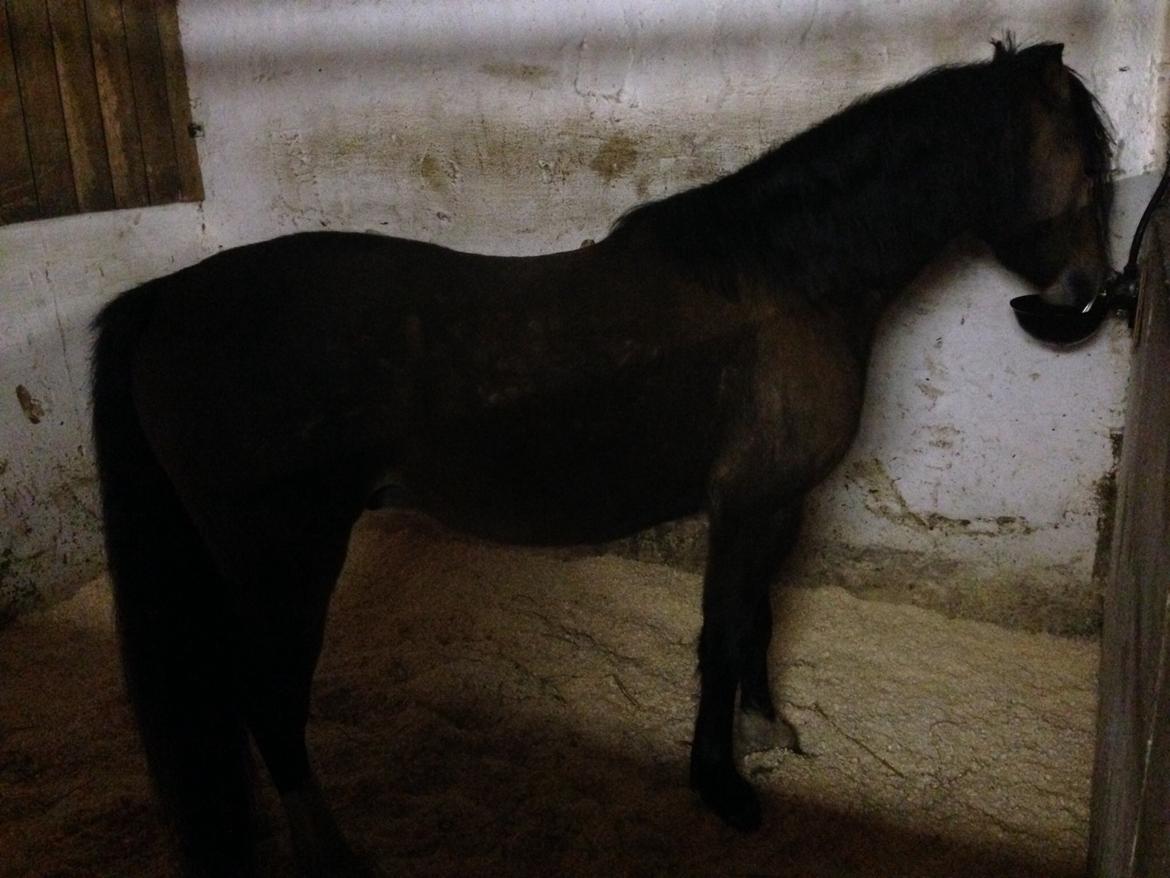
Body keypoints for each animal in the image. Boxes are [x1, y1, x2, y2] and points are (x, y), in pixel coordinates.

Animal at [91, 40, 1112, 876]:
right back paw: (333, 860)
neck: (791, 282)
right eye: (1093, 170)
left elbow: (759, 622)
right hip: (287, 561)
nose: (1092, 293)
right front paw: (722, 786)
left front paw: (767, 728)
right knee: (267, 701)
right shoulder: (746, 506)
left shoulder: (777, 505)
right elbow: (723, 633)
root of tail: (168, 295)